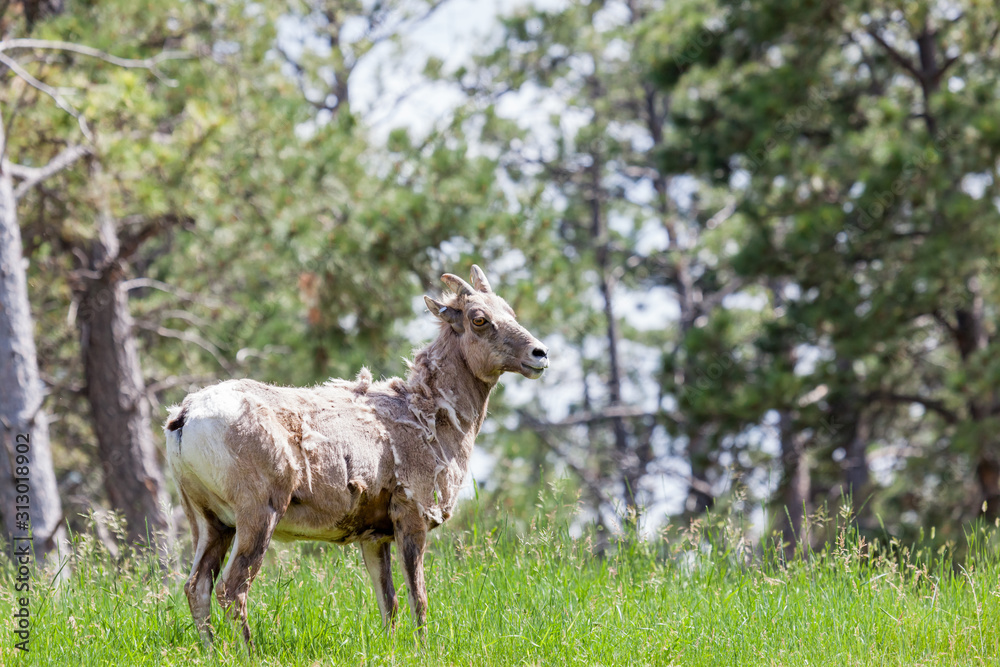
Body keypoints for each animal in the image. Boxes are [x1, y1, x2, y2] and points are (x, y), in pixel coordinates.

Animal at [164, 265, 549, 647]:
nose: (540, 354)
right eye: (479, 319)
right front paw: (424, 650)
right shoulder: (411, 518)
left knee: (197, 587)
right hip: (258, 515)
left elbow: (389, 602)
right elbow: (418, 598)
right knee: (232, 589)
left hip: (210, 522)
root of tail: (185, 415)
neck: (433, 417)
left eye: (510, 311)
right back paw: (249, 653)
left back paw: (213, 652)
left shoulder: (374, 537)